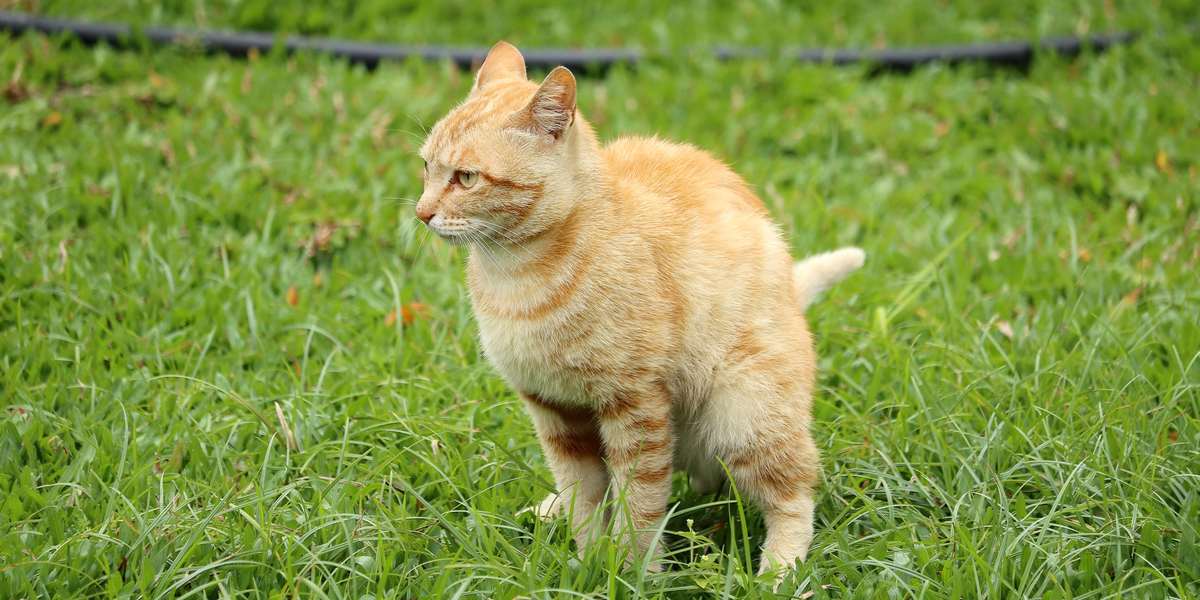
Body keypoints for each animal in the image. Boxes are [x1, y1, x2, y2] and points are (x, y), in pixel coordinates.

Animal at [415, 39, 864, 573]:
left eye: (466, 178)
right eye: (426, 167)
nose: (421, 213)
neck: (516, 277)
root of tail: (793, 292)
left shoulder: (635, 406)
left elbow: (641, 505)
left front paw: (633, 573)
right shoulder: (554, 411)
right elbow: (583, 496)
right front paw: (589, 561)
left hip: (746, 418)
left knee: (795, 497)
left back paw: (778, 571)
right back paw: (550, 509)